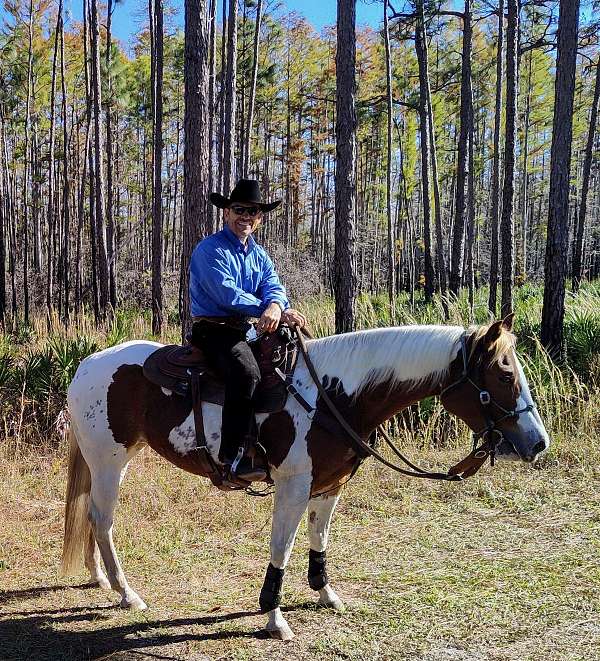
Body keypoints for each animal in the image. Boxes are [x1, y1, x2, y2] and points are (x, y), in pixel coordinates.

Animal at [61, 315, 549, 641]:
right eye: (503, 373)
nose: (538, 442)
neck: (333, 395)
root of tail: (87, 363)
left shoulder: (329, 485)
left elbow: (319, 537)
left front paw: (325, 592)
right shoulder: (293, 486)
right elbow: (283, 545)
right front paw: (274, 617)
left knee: (89, 515)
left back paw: (99, 579)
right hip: (109, 461)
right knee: (102, 520)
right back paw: (126, 593)